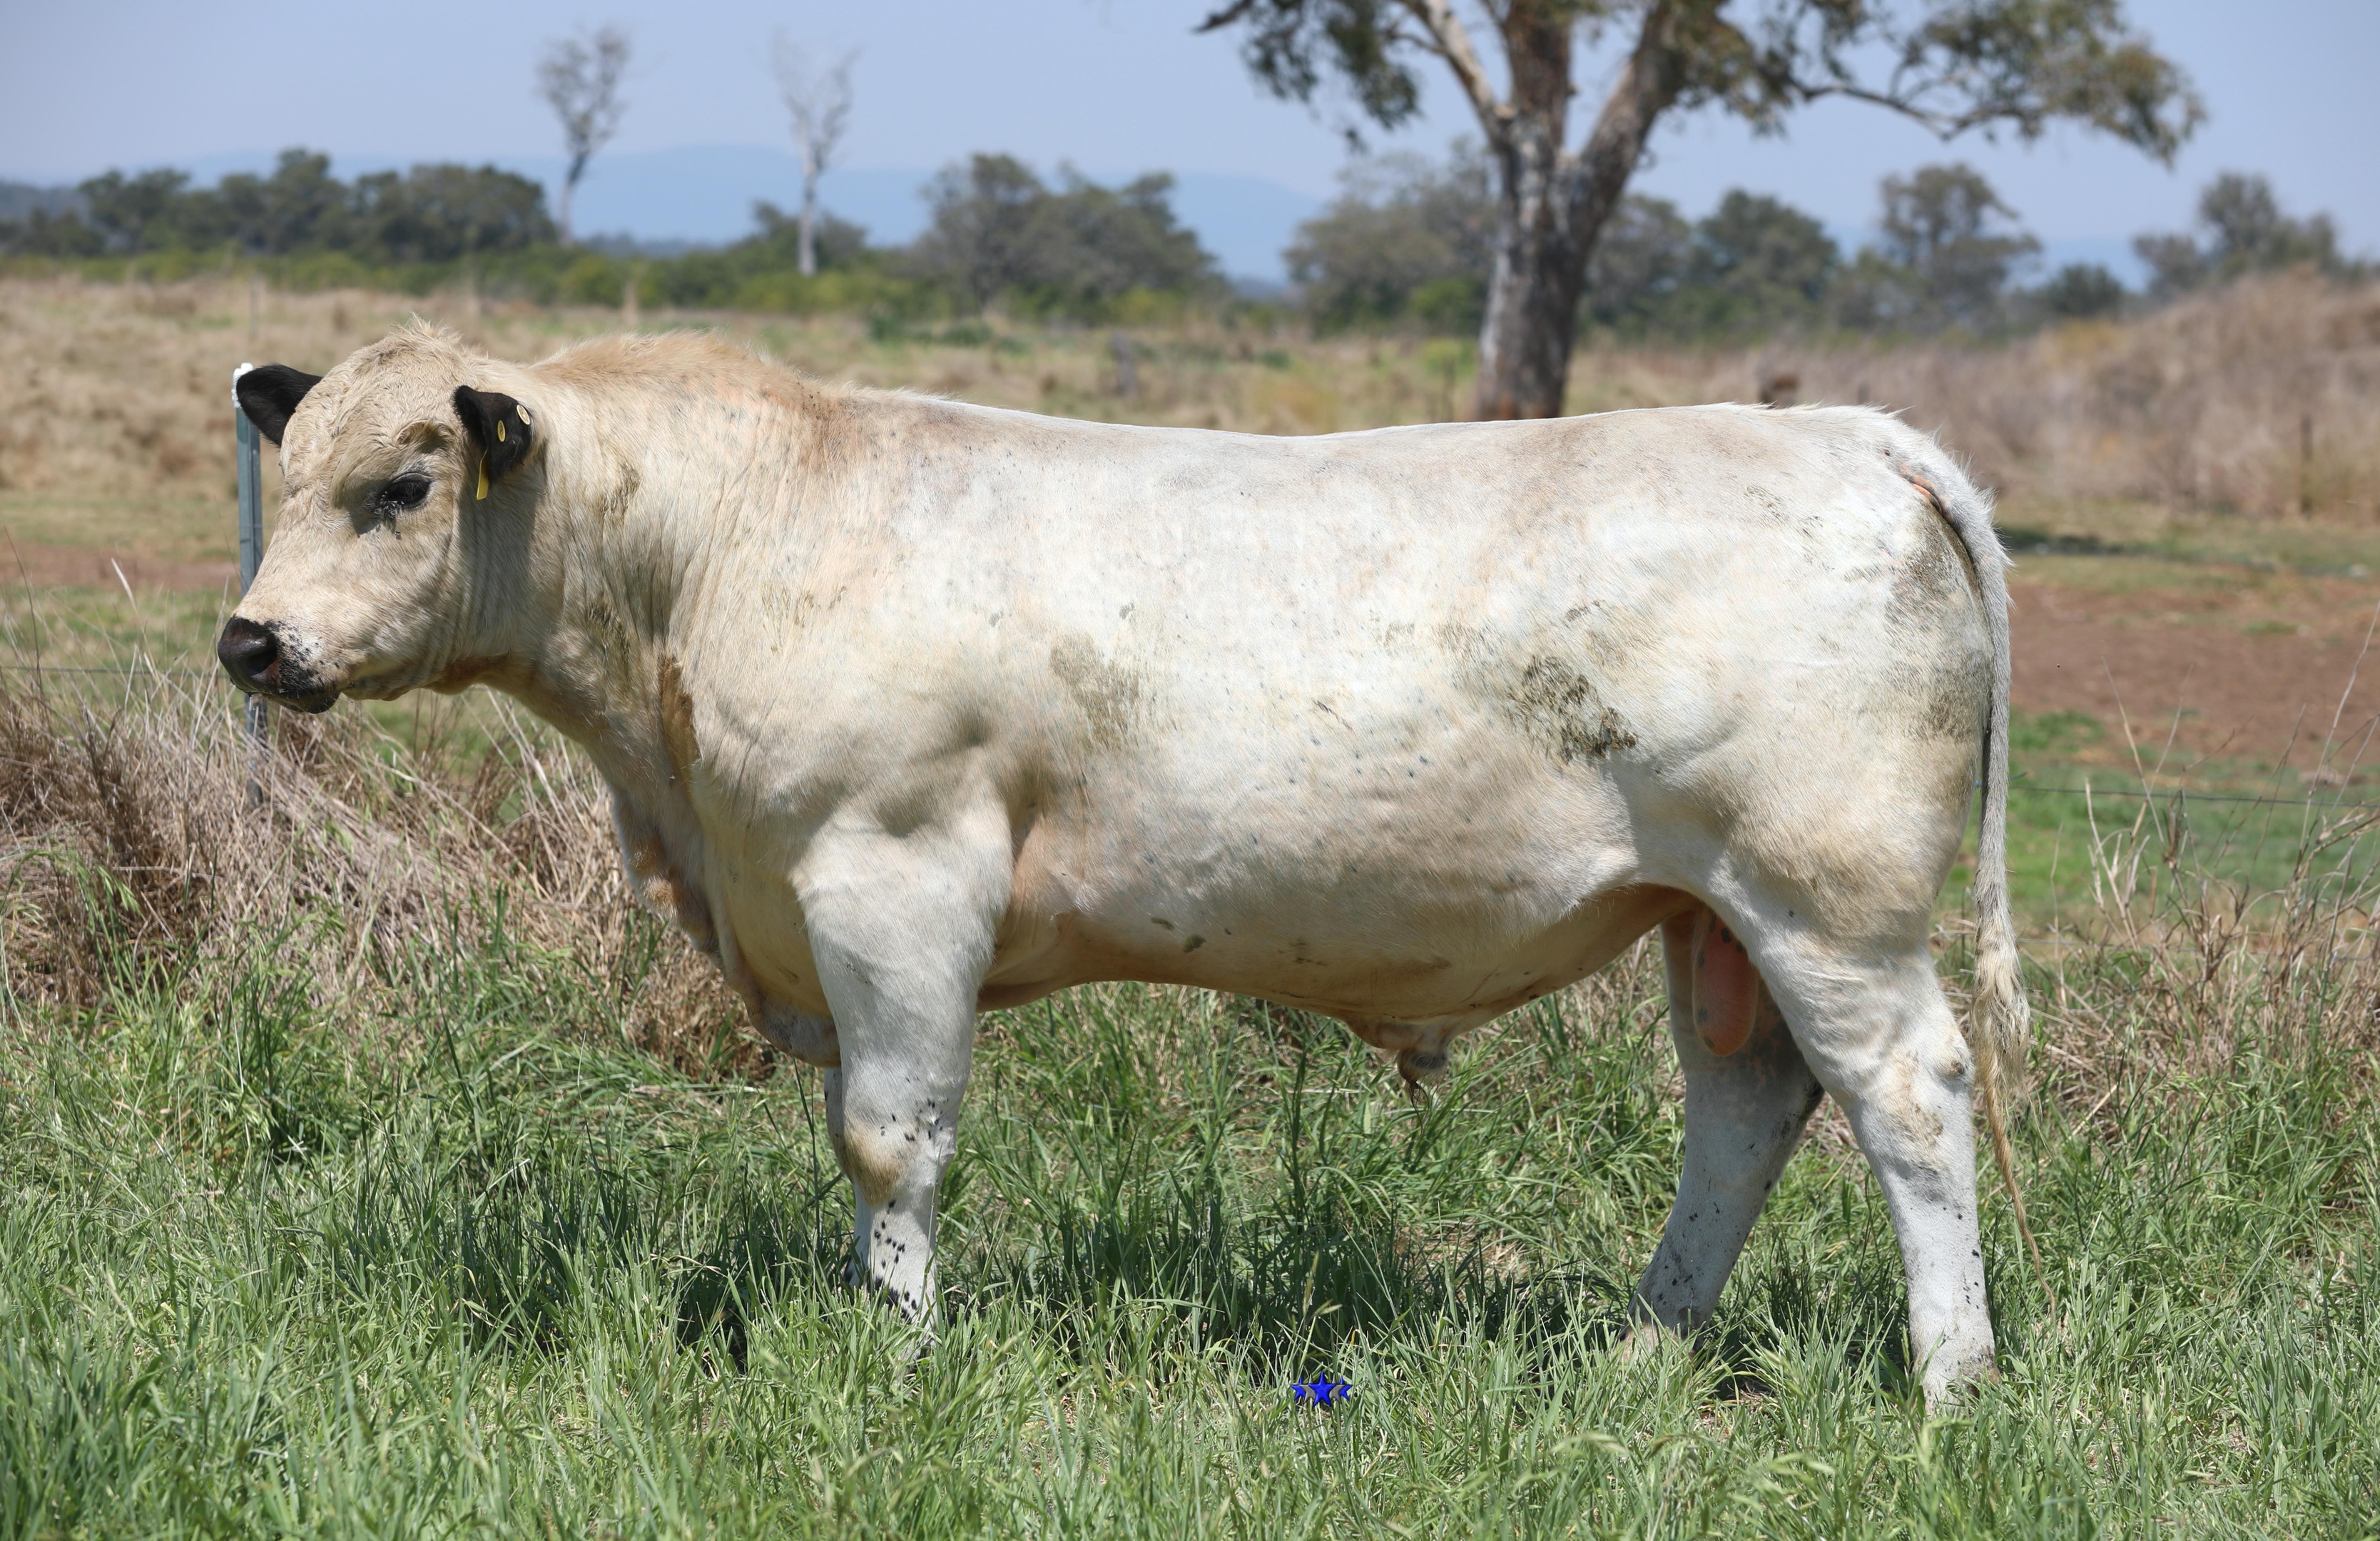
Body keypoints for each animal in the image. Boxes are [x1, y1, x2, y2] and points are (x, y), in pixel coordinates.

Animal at [222, 323, 2030, 1407]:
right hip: (1709, 917)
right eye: (291, 475)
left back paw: (1949, 1377)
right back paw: (1644, 1351)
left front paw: (902, 1355)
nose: (251, 639)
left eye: (402, 484)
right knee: (1746, 1112)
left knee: (1906, 1096)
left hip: (1825, 894)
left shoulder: (892, 873)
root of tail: (1856, 441)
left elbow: (887, 1139)